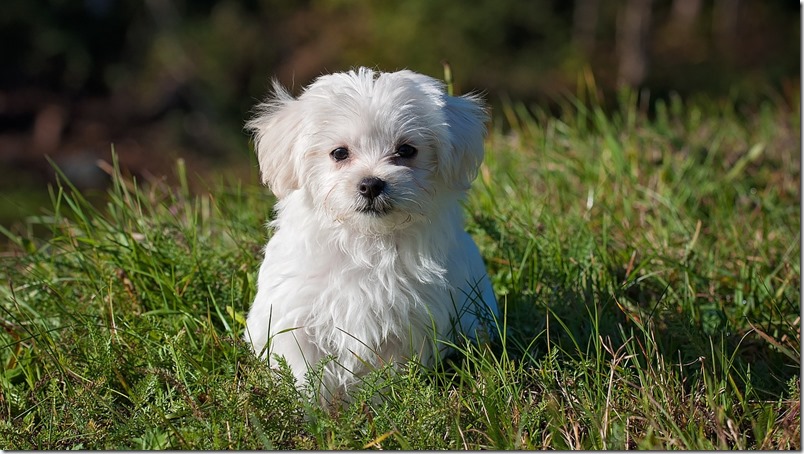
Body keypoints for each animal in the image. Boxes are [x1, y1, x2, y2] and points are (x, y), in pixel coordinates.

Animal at [243, 67, 496, 400]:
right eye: (339, 153)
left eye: (406, 150)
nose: (371, 184)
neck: (366, 241)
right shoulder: (296, 317)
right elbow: (304, 371)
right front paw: (310, 409)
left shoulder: (406, 325)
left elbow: (386, 375)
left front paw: (381, 405)